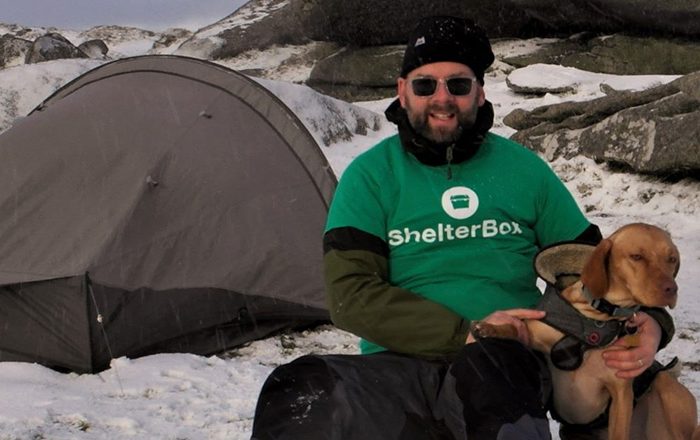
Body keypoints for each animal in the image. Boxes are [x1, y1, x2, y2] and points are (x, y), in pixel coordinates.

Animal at [474, 223, 696, 440]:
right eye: (636, 257)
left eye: (671, 259)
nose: (671, 289)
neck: (597, 318)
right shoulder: (533, 333)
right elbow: (515, 327)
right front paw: (489, 328)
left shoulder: (621, 393)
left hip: (667, 390)